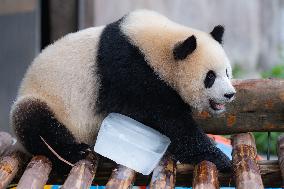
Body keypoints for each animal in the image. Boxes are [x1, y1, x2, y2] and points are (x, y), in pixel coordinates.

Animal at [10, 9, 235, 173]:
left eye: (227, 72)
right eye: (210, 77)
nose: (229, 94)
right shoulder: (129, 72)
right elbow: (169, 121)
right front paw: (219, 158)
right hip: (46, 101)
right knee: (35, 121)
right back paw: (74, 153)